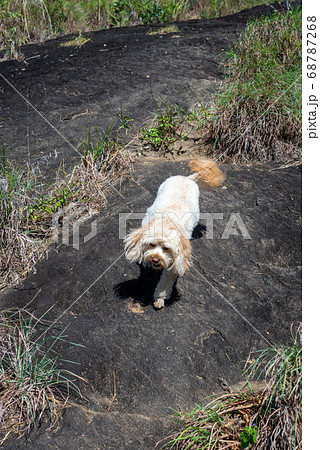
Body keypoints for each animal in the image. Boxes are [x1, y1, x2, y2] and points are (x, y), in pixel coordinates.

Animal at [123, 159, 225, 310]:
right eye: (151, 244)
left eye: (166, 248)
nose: (155, 259)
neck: (166, 220)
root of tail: (187, 178)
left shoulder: (175, 260)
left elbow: (166, 281)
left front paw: (160, 298)